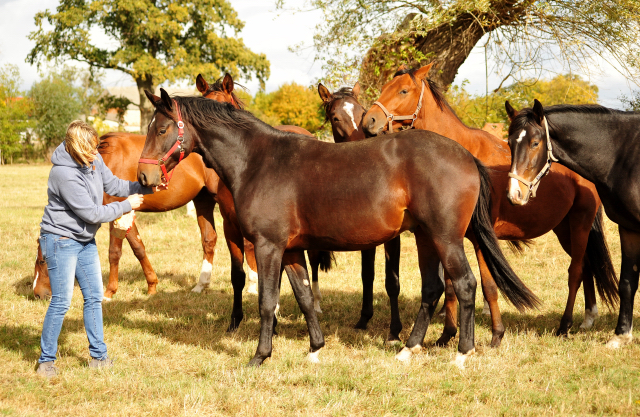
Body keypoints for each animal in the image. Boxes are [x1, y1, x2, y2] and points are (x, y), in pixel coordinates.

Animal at [140, 89, 540, 366]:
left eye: (161, 128)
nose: (144, 176)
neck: (259, 161)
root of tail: (466, 156)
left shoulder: (269, 246)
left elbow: (268, 302)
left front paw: (260, 356)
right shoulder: (291, 249)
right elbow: (304, 296)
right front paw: (315, 349)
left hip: (447, 239)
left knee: (466, 284)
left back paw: (461, 353)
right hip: (426, 238)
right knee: (433, 289)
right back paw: (408, 350)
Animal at [364, 63, 620, 346]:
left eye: (403, 90)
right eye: (385, 87)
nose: (369, 120)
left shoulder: (479, 238)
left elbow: (488, 286)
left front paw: (496, 334)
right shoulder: (449, 236)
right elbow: (451, 286)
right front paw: (447, 334)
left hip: (580, 224)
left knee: (576, 271)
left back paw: (565, 325)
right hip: (564, 229)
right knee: (586, 265)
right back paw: (588, 317)